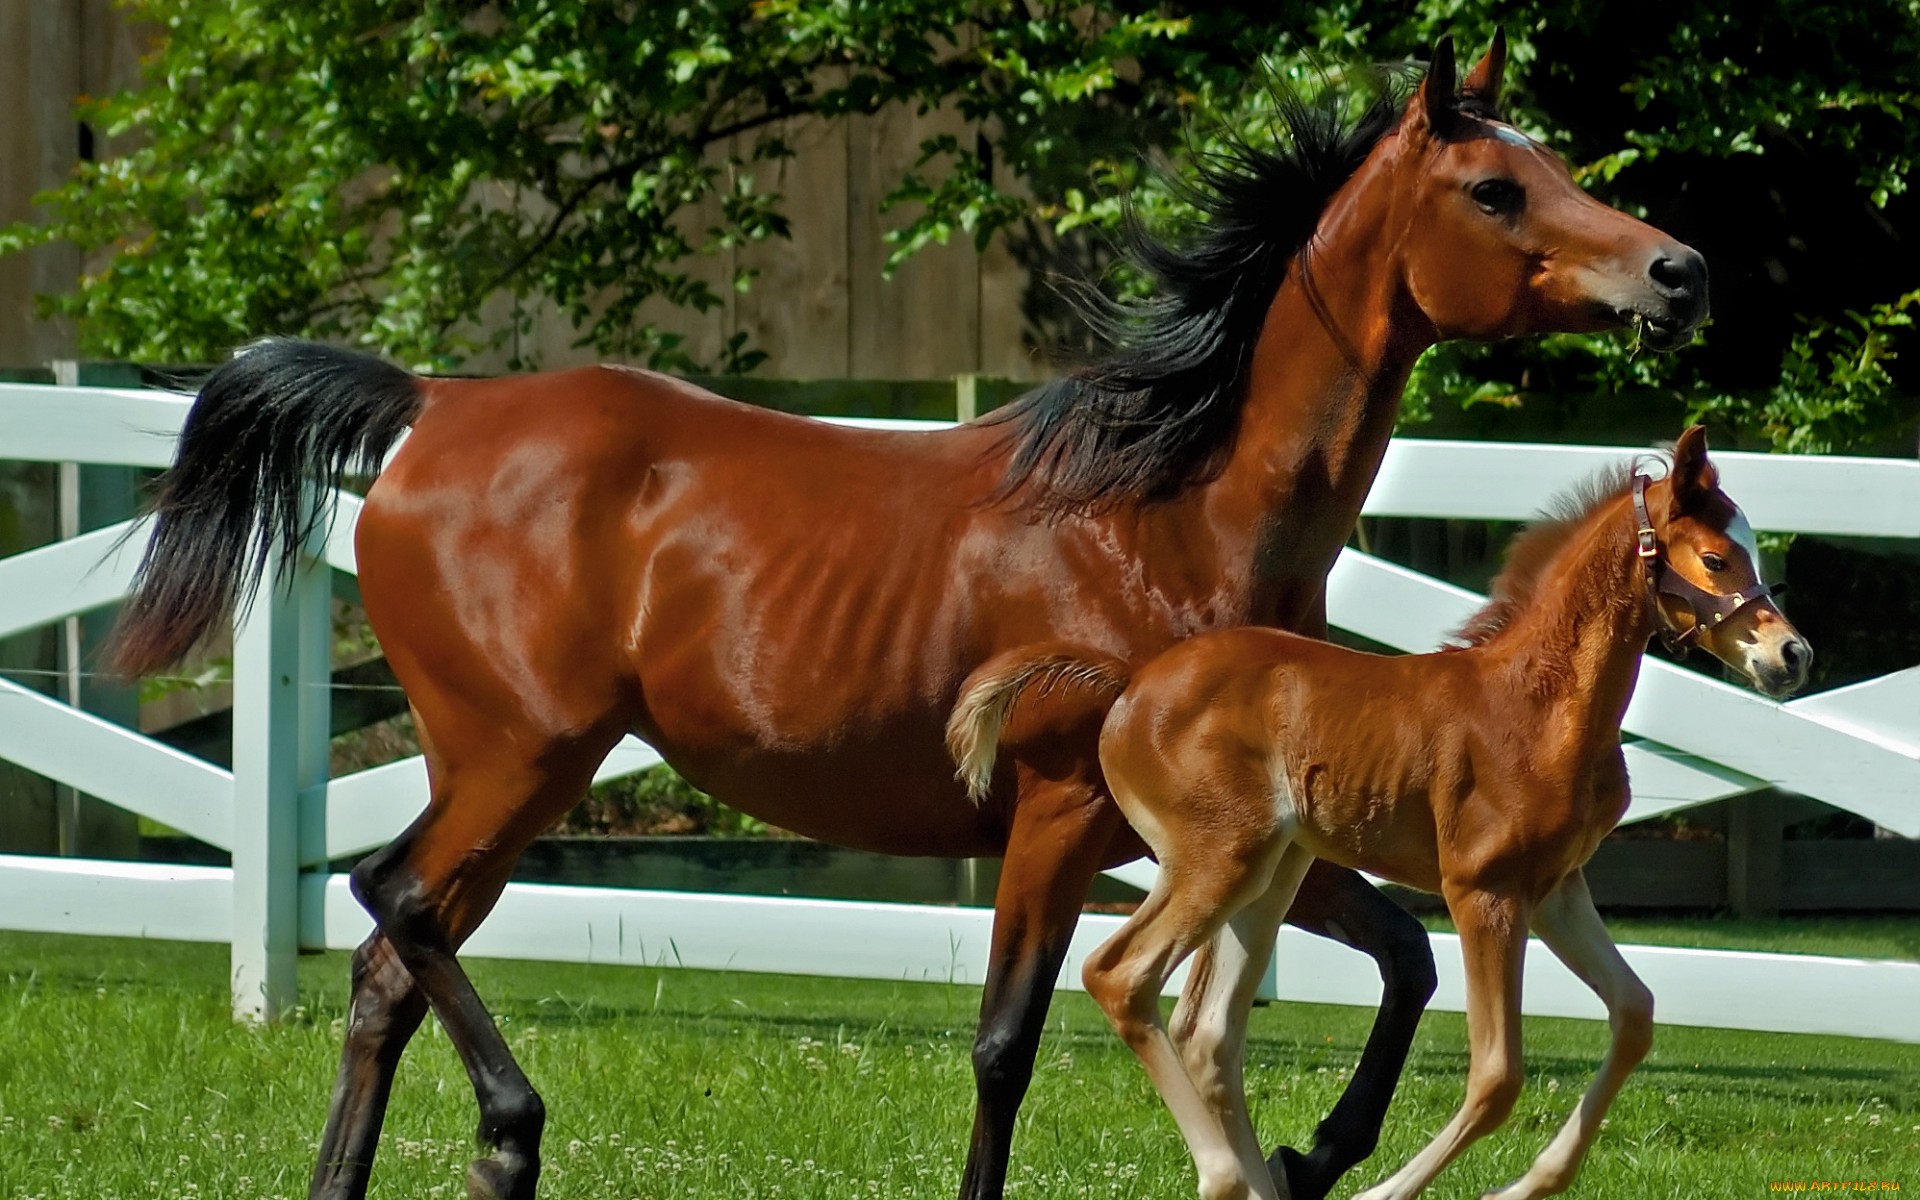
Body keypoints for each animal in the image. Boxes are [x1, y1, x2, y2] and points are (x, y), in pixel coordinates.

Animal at [101, 30, 1712, 1200]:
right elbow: (1006, 1044)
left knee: (386, 963)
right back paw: (511, 1130)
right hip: (521, 759)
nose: (1679, 268)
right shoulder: (1065, 817)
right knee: (400, 904)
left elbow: (1403, 955)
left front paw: (1316, 1152)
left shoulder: (1232, 835)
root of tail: (431, 404)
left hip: (496, 773)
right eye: (1496, 190)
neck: (1164, 513)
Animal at [960, 430, 1812, 1198]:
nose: (1793, 655)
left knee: (1208, 1035)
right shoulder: (1483, 891)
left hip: (1272, 872)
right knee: (1119, 976)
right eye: (1716, 559)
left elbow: (1635, 1015)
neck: (1539, 705)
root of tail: (1129, 683)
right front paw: (1386, 1193)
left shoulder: (1557, 888)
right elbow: (1497, 1076)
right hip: (1216, 858)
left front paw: (1528, 1185)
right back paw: (1226, 1176)